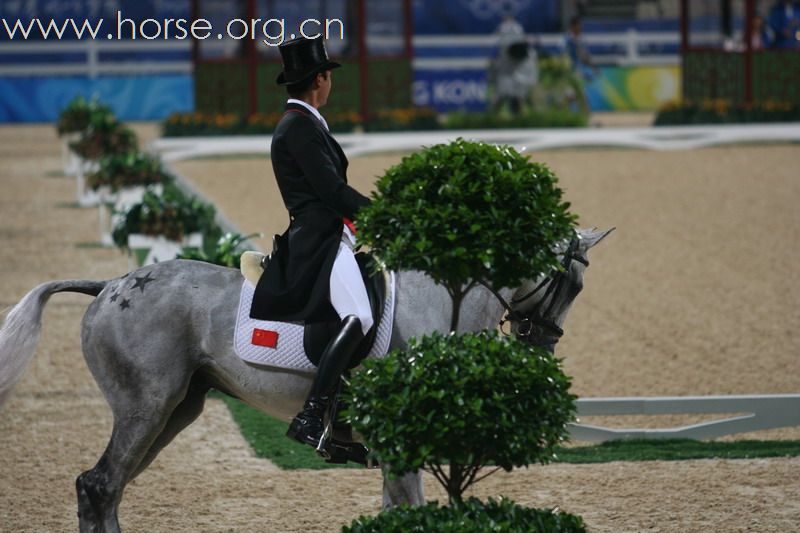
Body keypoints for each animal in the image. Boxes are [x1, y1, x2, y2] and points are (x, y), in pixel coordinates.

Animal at [1, 227, 612, 528]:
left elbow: (394, 512)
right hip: (146, 406)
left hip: (177, 409)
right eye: (572, 285)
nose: (542, 347)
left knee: (109, 489)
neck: (445, 301)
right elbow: (408, 511)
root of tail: (110, 285)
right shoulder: (399, 443)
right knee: (100, 485)